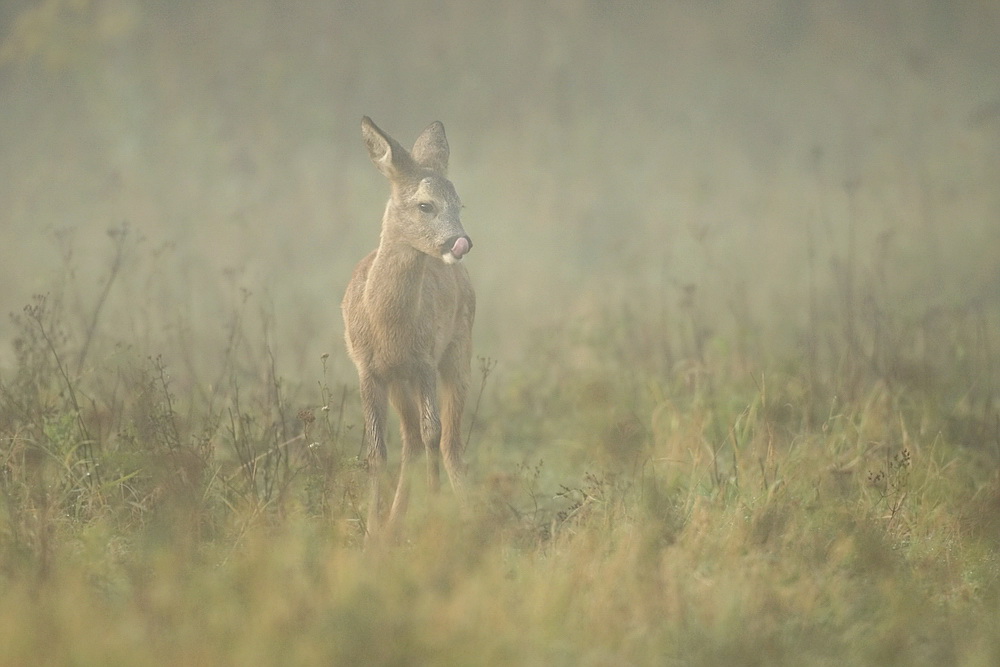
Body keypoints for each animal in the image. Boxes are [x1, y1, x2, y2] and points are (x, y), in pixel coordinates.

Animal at [342, 116, 474, 544]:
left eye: (460, 203)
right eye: (425, 204)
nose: (460, 242)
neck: (387, 326)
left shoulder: (425, 361)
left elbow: (434, 434)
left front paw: (433, 516)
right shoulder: (368, 369)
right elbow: (376, 451)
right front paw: (371, 533)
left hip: (459, 352)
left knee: (448, 441)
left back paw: (468, 514)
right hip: (401, 381)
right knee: (412, 440)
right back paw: (393, 526)